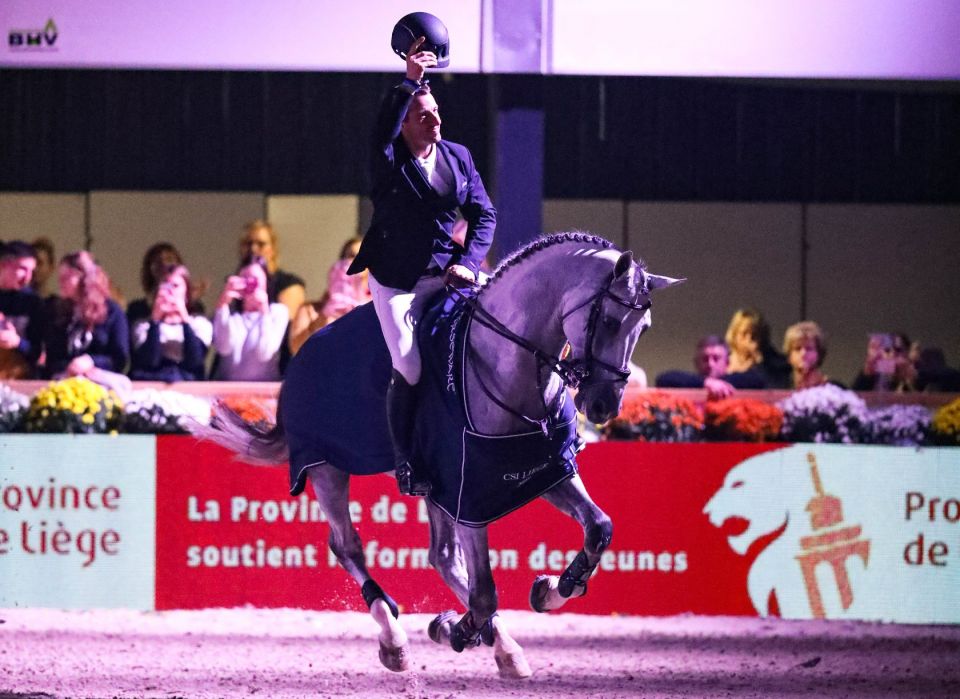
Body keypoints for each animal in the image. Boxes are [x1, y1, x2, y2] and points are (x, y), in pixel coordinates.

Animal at [201, 234, 684, 680]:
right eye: (609, 320)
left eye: (644, 328)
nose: (603, 406)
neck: (510, 366)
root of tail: (300, 357)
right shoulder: (472, 492)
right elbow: (485, 592)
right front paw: (458, 628)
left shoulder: (542, 471)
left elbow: (599, 527)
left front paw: (550, 589)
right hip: (325, 469)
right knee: (349, 545)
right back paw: (396, 639)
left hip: (434, 487)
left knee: (442, 556)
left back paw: (500, 644)